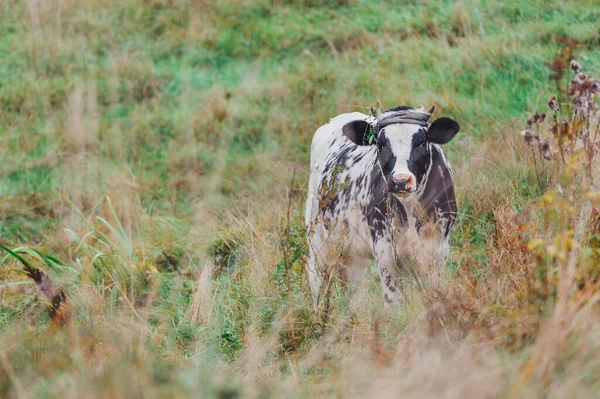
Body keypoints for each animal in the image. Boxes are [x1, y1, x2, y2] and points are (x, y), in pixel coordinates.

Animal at [304, 105, 460, 306]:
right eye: (380, 144)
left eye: (421, 142)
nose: (400, 181)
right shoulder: (384, 250)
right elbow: (393, 300)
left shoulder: (438, 249)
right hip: (317, 237)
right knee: (317, 278)